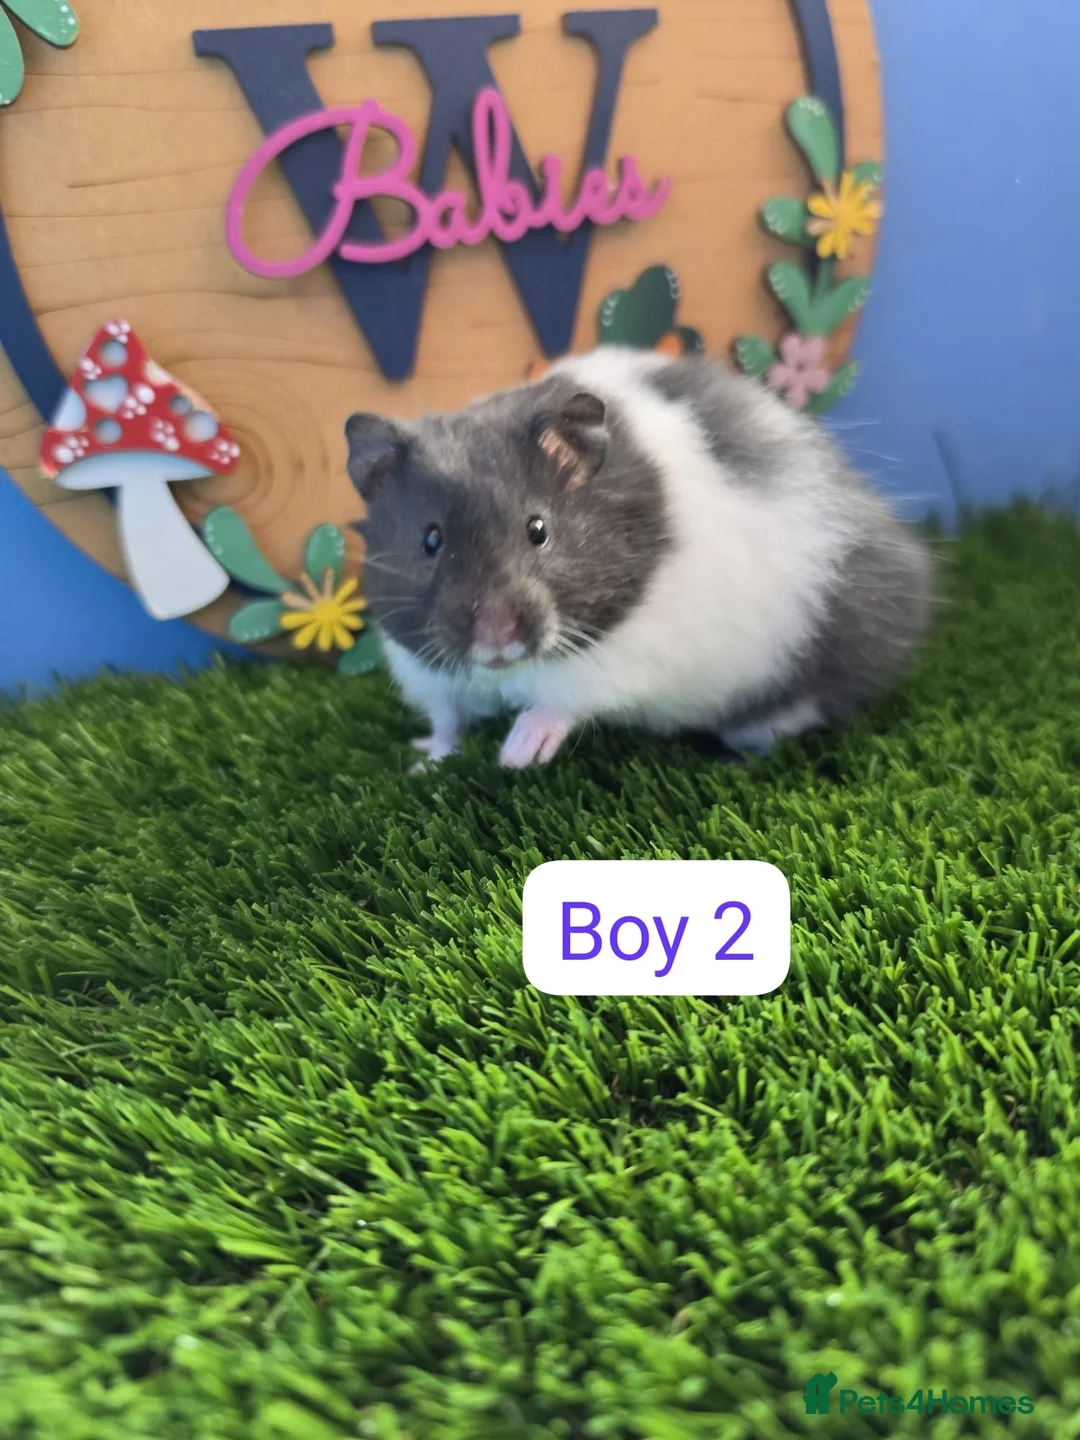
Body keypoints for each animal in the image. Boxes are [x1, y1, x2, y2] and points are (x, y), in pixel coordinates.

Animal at [344, 348, 933, 769]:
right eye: (431, 541)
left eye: (538, 530)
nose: (495, 635)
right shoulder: (425, 669)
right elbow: (447, 718)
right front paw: (424, 762)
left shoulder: (627, 658)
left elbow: (561, 702)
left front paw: (516, 756)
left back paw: (735, 757)